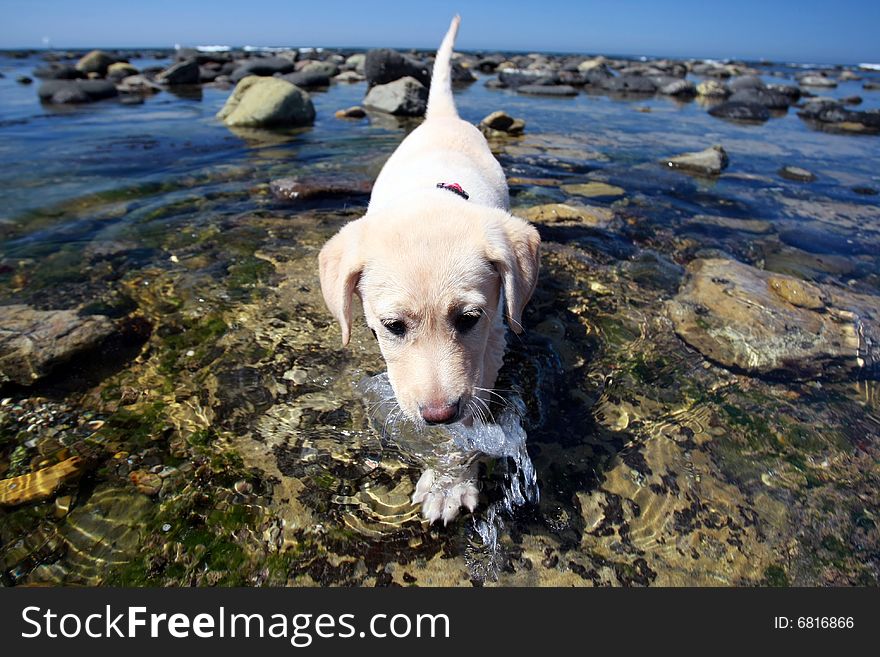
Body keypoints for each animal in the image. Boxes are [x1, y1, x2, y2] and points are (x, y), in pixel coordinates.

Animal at [312, 15, 540, 524]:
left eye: (468, 319)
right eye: (392, 327)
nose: (438, 413)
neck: (431, 194)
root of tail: (441, 119)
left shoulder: (493, 335)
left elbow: (472, 417)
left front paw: (450, 479)